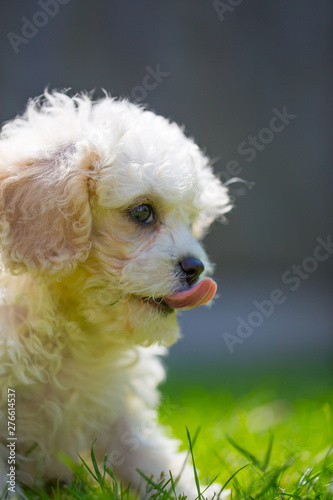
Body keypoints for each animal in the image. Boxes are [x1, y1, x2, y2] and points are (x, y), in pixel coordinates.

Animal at [0, 92, 230, 498]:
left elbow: (148, 456)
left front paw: (196, 491)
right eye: (142, 212)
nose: (196, 268)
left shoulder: (115, 405)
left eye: (190, 220)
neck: (68, 326)